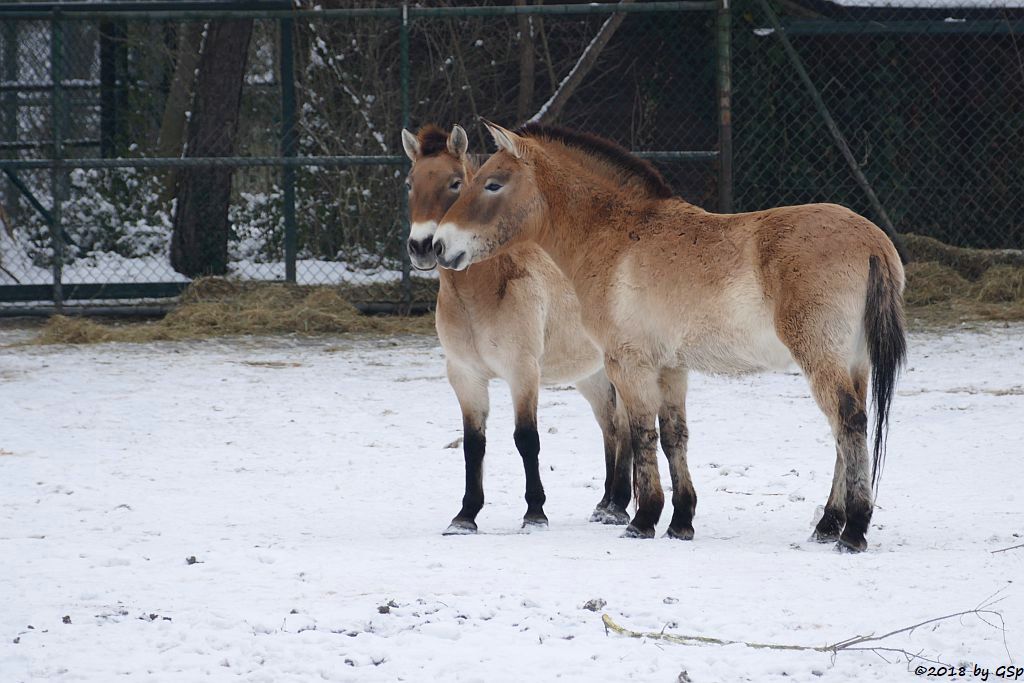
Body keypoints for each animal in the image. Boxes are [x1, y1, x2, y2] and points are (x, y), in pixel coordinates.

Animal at [399, 125, 630, 536]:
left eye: (455, 183)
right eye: (410, 184)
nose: (424, 246)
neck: (481, 292)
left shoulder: (522, 372)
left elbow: (526, 439)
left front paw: (535, 513)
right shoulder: (466, 376)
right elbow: (473, 444)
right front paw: (465, 516)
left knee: (625, 426)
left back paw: (619, 506)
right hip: (590, 375)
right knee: (611, 428)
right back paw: (605, 504)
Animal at [428, 121, 909, 548]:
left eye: (493, 184)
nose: (438, 246)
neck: (615, 237)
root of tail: (873, 242)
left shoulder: (629, 364)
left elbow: (642, 434)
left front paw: (642, 520)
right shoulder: (671, 368)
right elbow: (674, 435)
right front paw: (681, 522)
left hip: (821, 358)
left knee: (848, 424)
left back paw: (853, 531)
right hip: (852, 363)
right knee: (844, 432)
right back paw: (827, 525)